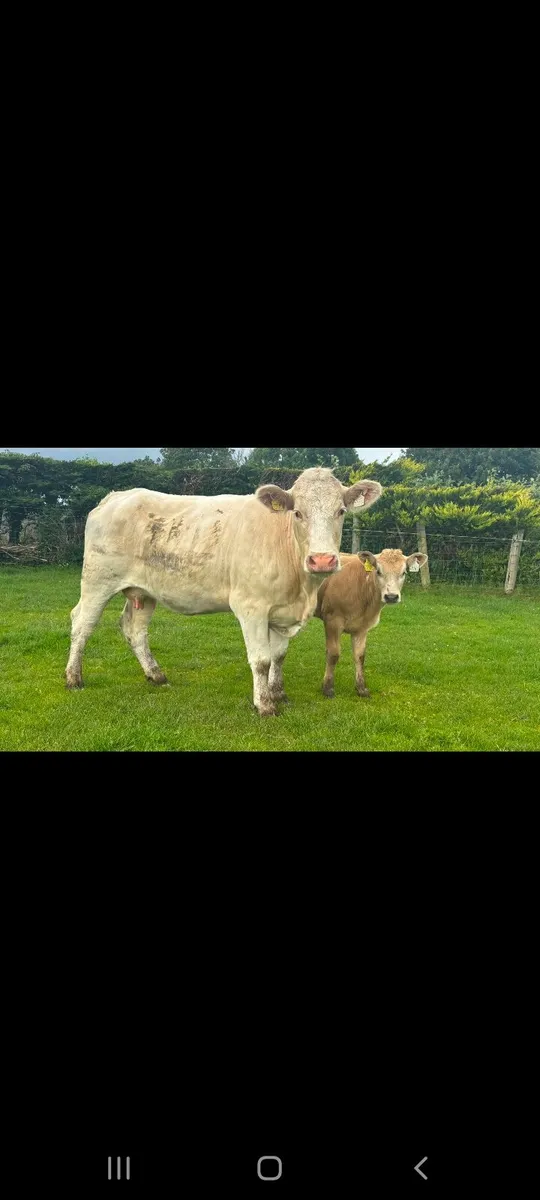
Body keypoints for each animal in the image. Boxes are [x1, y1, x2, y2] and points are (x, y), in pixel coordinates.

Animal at [65, 468, 383, 716]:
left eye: (340, 511)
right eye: (298, 513)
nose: (322, 560)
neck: (301, 588)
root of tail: (117, 496)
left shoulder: (282, 612)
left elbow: (278, 656)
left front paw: (277, 693)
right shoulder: (251, 606)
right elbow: (261, 659)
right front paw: (264, 705)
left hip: (144, 592)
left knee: (135, 629)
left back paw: (156, 675)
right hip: (97, 580)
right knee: (82, 623)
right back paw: (73, 678)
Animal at [314, 547, 428, 698]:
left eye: (404, 572)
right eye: (378, 571)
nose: (391, 596)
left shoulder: (362, 627)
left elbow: (360, 656)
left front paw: (361, 688)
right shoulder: (332, 621)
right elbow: (333, 654)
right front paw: (328, 688)